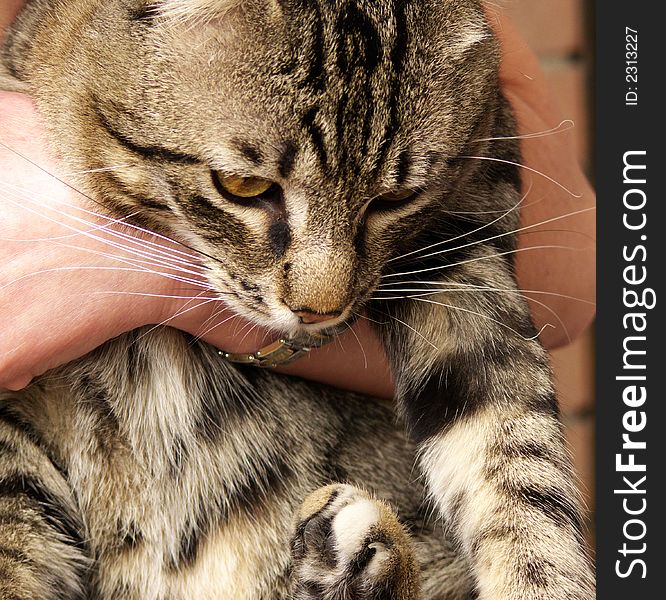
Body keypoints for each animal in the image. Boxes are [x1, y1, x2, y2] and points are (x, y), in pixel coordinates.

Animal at [0, 0, 592, 596]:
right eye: (242, 186)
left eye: (395, 198)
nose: (319, 310)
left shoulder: (466, 231)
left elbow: (516, 451)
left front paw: (542, 579)